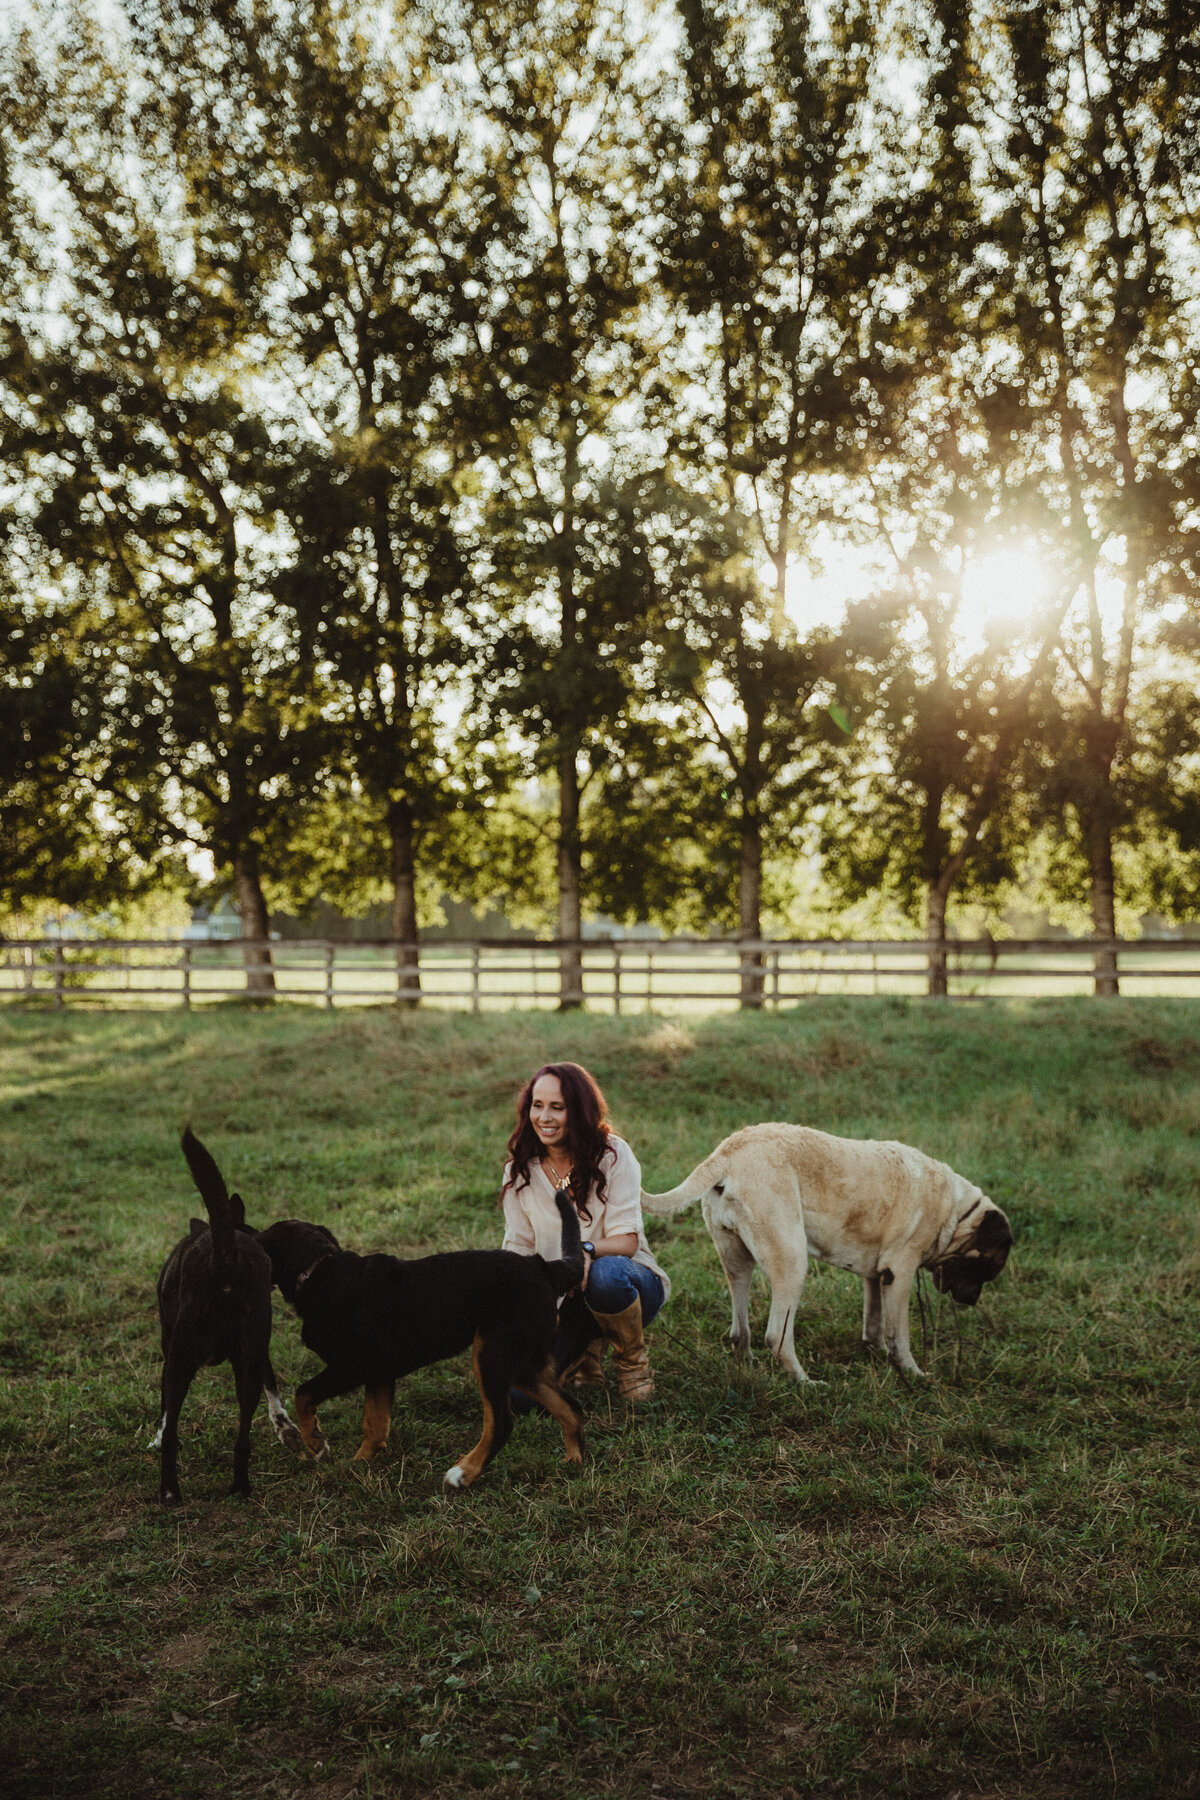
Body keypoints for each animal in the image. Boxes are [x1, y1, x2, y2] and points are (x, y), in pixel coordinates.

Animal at [154, 1123, 302, 1504]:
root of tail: (224, 1253)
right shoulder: (256, 1350)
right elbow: (271, 1382)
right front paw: (287, 1429)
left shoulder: (168, 1352)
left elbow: (164, 1411)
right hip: (242, 1358)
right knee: (243, 1437)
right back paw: (240, 1486)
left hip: (183, 1358)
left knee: (174, 1428)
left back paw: (170, 1491)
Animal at [259, 1202, 586, 1483]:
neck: (316, 1270)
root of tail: (543, 1267)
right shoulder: (379, 1374)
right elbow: (374, 1424)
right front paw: (358, 1464)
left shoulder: (351, 1366)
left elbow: (304, 1393)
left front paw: (314, 1442)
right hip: (521, 1363)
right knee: (570, 1408)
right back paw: (573, 1461)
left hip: (493, 1354)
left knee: (501, 1423)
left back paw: (463, 1473)